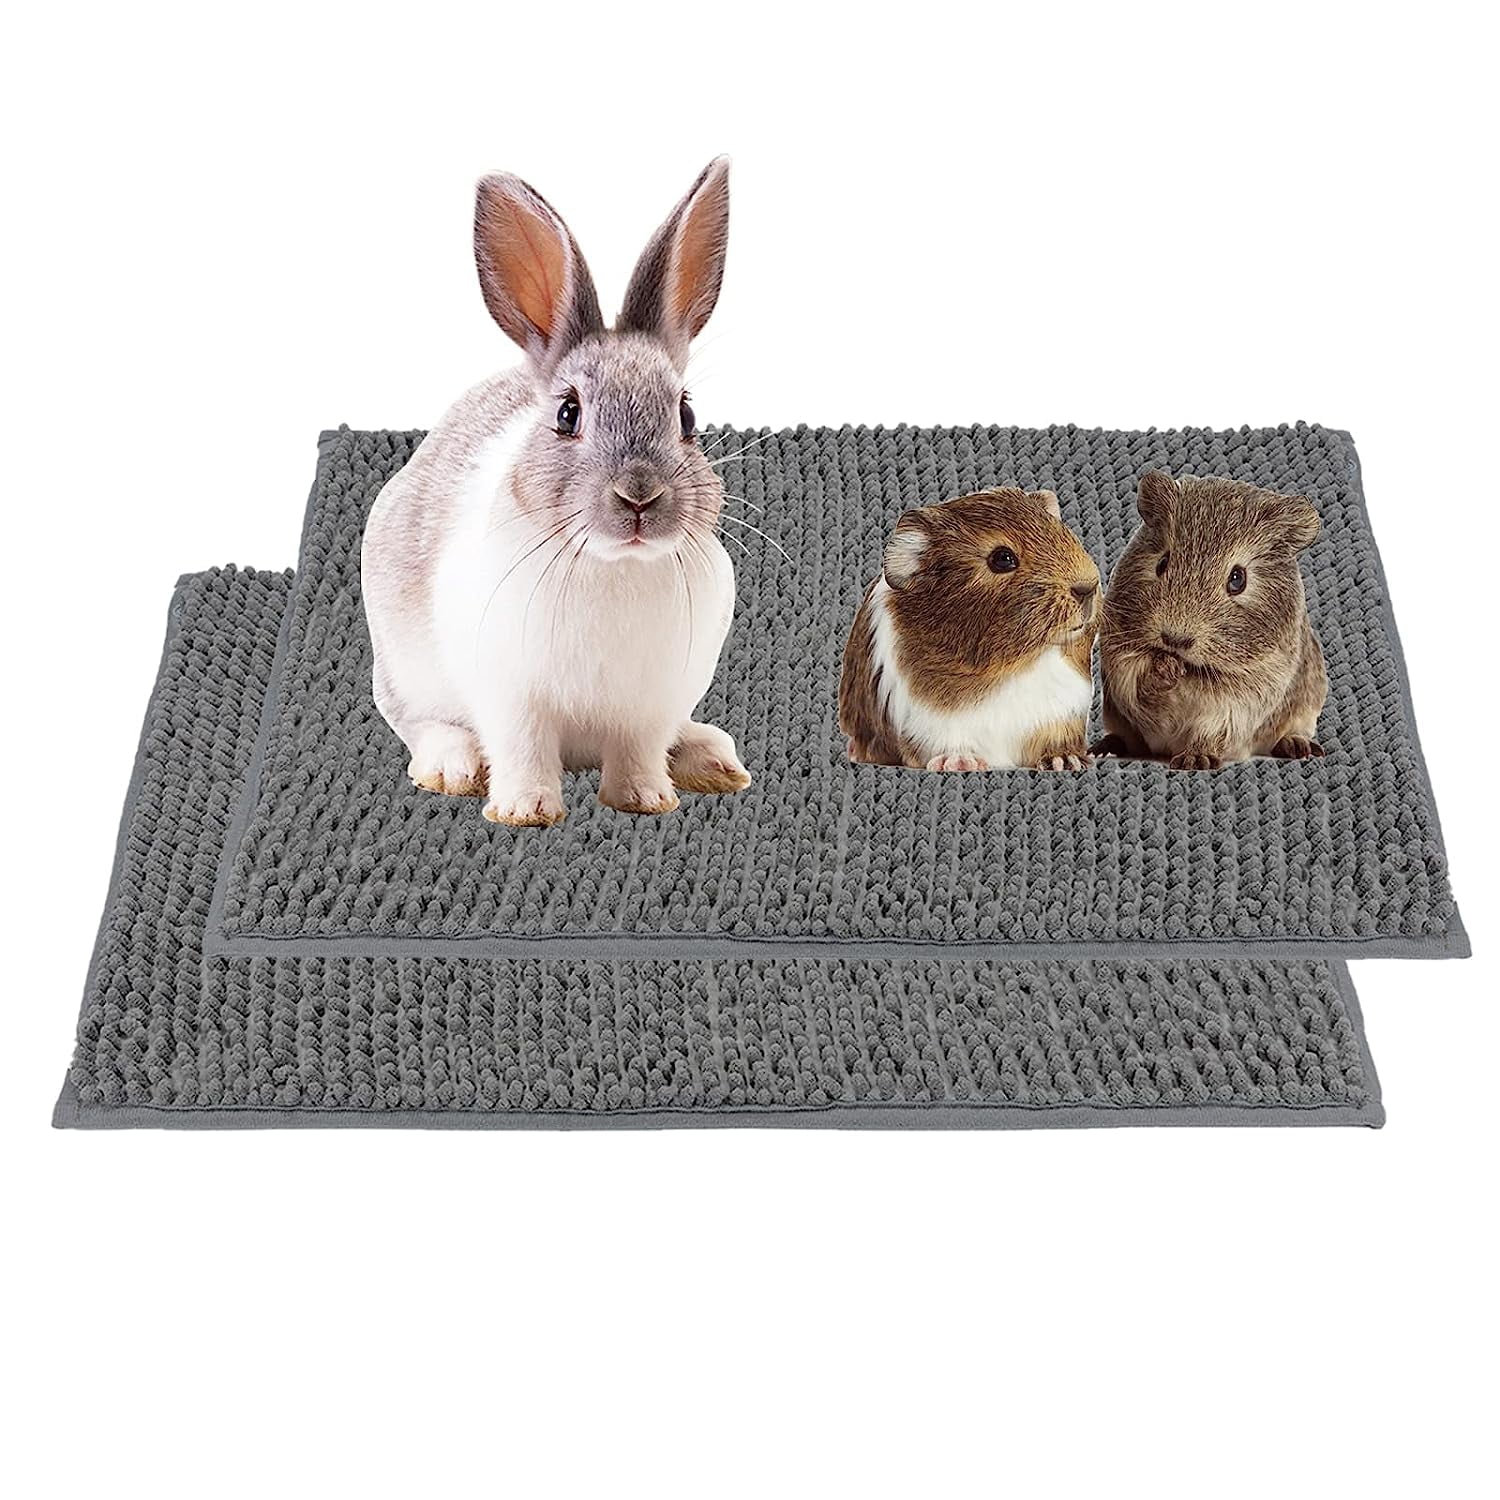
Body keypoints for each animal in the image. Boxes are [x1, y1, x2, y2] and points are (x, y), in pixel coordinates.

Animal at [361, 159, 751, 827]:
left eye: (686, 416)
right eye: (568, 414)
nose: (639, 496)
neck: (612, 564)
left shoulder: (650, 703)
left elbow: (639, 752)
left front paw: (646, 800)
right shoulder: (510, 695)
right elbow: (521, 749)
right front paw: (524, 810)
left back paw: (712, 760)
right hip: (404, 671)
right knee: (422, 724)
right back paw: (451, 766)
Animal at [839, 488, 1101, 772]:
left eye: (1063, 531)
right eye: (1002, 558)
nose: (1087, 587)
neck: (1013, 669)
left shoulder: (1061, 712)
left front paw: (1066, 761)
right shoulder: (930, 723)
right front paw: (961, 763)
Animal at [1093, 470, 1328, 770]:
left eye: (1238, 579)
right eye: (1162, 562)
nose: (1174, 639)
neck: (1193, 672)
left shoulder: (1241, 699)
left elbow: (1209, 731)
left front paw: (1194, 760)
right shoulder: (1119, 660)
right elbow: (1139, 685)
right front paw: (1165, 669)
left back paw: (1298, 746)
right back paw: (1103, 749)